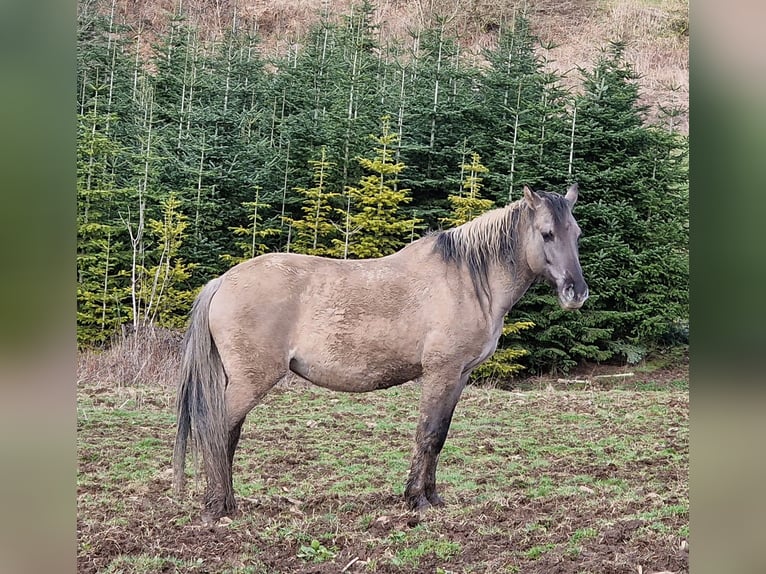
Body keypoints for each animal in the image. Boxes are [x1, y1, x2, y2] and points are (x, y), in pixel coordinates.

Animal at [174, 183, 592, 520]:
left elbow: (439, 436)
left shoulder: (460, 376)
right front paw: (416, 500)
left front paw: (432, 497)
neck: (469, 280)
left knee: (228, 433)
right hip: (252, 379)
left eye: (576, 233)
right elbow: (427, 433)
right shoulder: (440, 372)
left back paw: (227, 502)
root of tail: (222, 281)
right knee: (218, 429)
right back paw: (216, 506)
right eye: (546, 233)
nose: (577, 292)